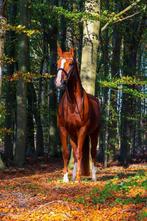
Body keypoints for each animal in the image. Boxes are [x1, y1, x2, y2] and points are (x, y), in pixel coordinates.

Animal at [54, 48, 100, 181]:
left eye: (71, 64)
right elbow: (66, 153)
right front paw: (66, 178)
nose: (58, 83)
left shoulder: (83, 130)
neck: (73, 103)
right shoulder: (63, 129)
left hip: (94, 133)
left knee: (92, 153)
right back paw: (73, 176)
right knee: (74, 153)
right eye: (57, 63)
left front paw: (79, 178)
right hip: (73, 134)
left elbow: (80, 153)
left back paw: (93, 177)